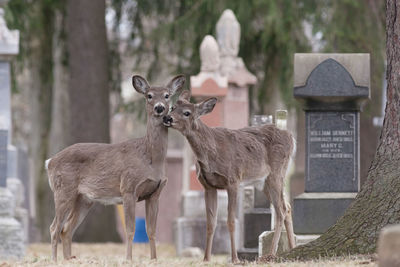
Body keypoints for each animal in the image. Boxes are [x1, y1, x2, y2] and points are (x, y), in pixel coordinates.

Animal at [45, 75, 186, 262]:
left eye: (167, 95)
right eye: (149, 95)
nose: (159, 107)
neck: (151, 159)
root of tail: (50, 162)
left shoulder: (155, 193)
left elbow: (151, 231)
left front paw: (153, 259)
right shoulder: (128, 188)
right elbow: (130, 229)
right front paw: (128, 259)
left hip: (84, 199)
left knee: (66, 229)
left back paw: (69, 259)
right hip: (63, 190)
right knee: (54, 227)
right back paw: (54, 260)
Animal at [163, 90, 296, 264]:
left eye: (187, 113)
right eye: (172, 107)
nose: (167, 118)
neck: (210, 153)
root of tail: (291, 137)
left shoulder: (233, 180)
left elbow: (231, 221)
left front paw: (235, 258)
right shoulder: (208, 186)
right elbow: (210, 223)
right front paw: (206, 258)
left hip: (277, 171)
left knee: (281, 210)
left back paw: (270, 255)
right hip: (263, 181)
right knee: (287, 206)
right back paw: (293, 248)